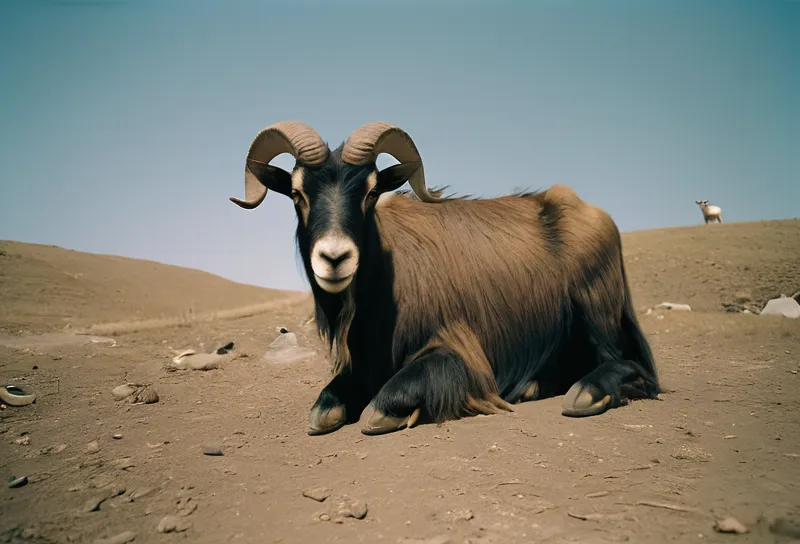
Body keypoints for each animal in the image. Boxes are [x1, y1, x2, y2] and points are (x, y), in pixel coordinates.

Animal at [230, 121, 664, 436]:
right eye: (298, 194)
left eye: (370, 192)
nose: (334, 258)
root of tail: (593, 214)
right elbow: (322, 412)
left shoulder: (459, 354)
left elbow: (378, 409)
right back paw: (533, 386)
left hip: (596, 313)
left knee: (634, 365)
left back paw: (587, 393)